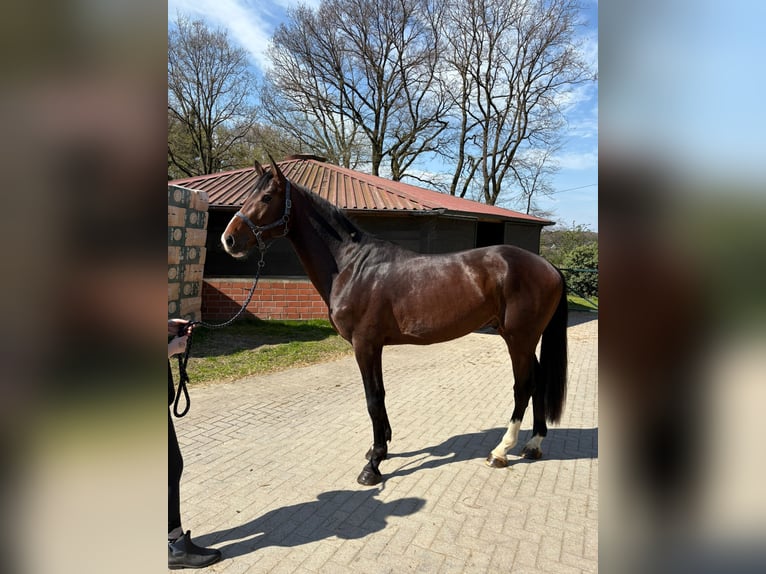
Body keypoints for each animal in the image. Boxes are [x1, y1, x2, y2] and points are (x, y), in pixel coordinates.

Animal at [221, 158, 568, 486]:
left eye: (266, 197)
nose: (229, 240)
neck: (352, 267)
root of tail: (548, 265)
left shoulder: (364, 345)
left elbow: (372, 399)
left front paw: (373, 466)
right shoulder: (375, 346)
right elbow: (381, 395)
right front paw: (381, 447)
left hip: (518, 339)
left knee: (523, 386)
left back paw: (501, 451)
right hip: (523, 340)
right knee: (537, 380)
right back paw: (533, 445)